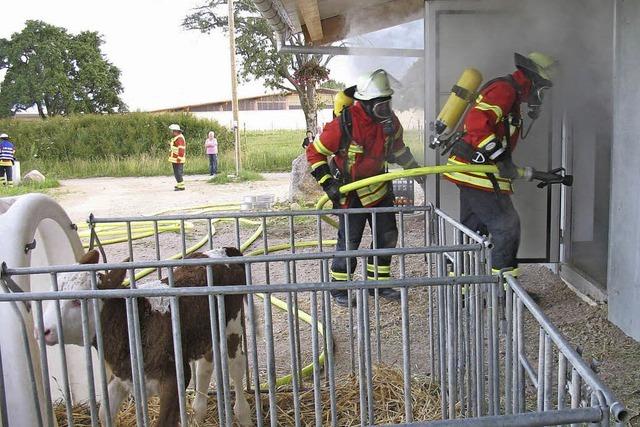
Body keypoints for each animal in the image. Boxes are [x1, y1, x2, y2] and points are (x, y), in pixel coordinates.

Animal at [40, 249, 252, 426]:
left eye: (77, 301)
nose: (43, 330)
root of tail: (225, 251)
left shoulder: (174, 378)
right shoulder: (122, 377)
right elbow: (104, 413)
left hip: (232, 325)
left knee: (235, 366)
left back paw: (244, 416)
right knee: (205, 366)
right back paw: (198, 415)